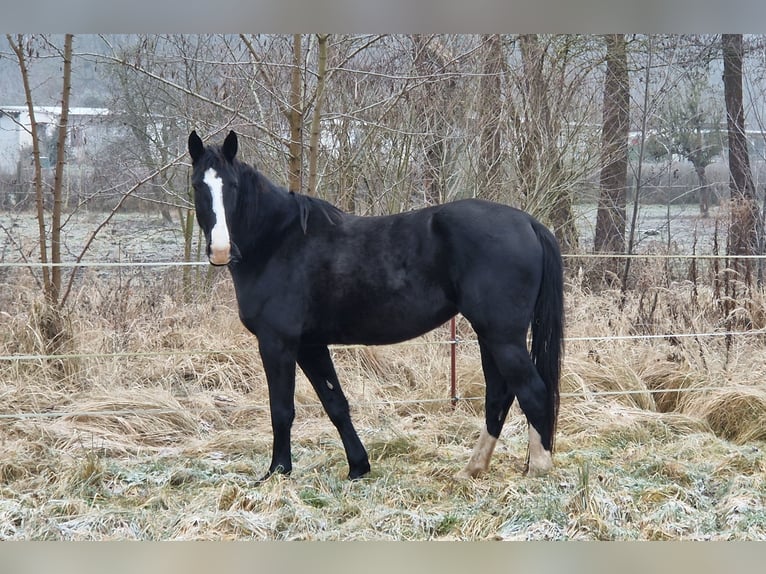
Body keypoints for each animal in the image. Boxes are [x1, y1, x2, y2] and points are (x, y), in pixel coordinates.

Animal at [187, 130, 564, 482]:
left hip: (502, 336)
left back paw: (539, 469)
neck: (278, 241)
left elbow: (281, 409)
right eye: (197, 185)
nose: (221, 250)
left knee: (532, 392)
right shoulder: (310, 344)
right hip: (491, 336)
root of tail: (529, 223)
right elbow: (335, 403)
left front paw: (277, 471)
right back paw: (472, 469)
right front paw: (358, 466)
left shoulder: (277, 342)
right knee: (500, 395)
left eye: (232, 185)